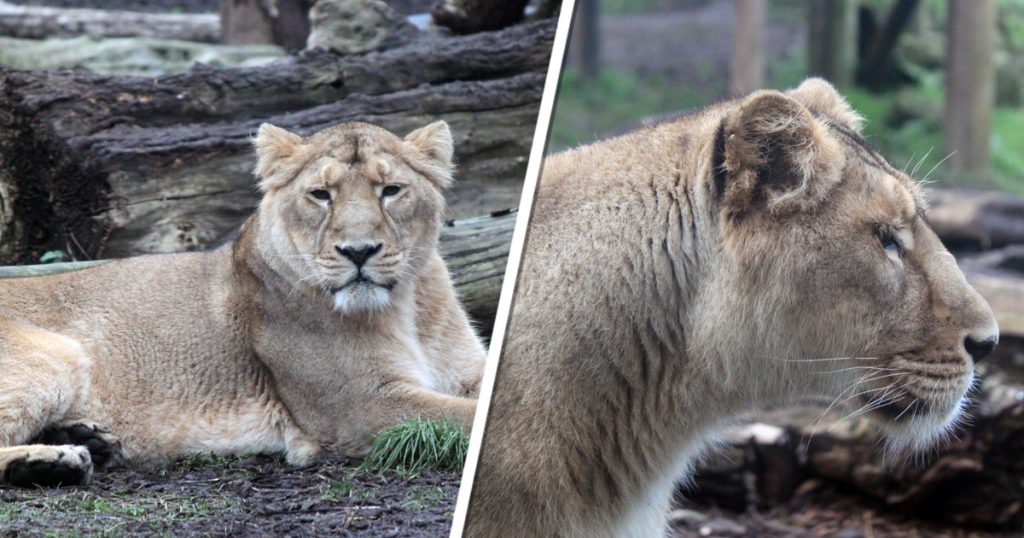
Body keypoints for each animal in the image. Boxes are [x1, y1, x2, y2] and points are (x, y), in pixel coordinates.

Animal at [0, 120, 486, 487]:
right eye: (320, 194)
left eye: (391, 190)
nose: (359, 251)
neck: (406, 305)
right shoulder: (360, 405)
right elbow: (468, 417)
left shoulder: (467, 372)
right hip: (53, 356)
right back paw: (54, 461)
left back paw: (87, 440)